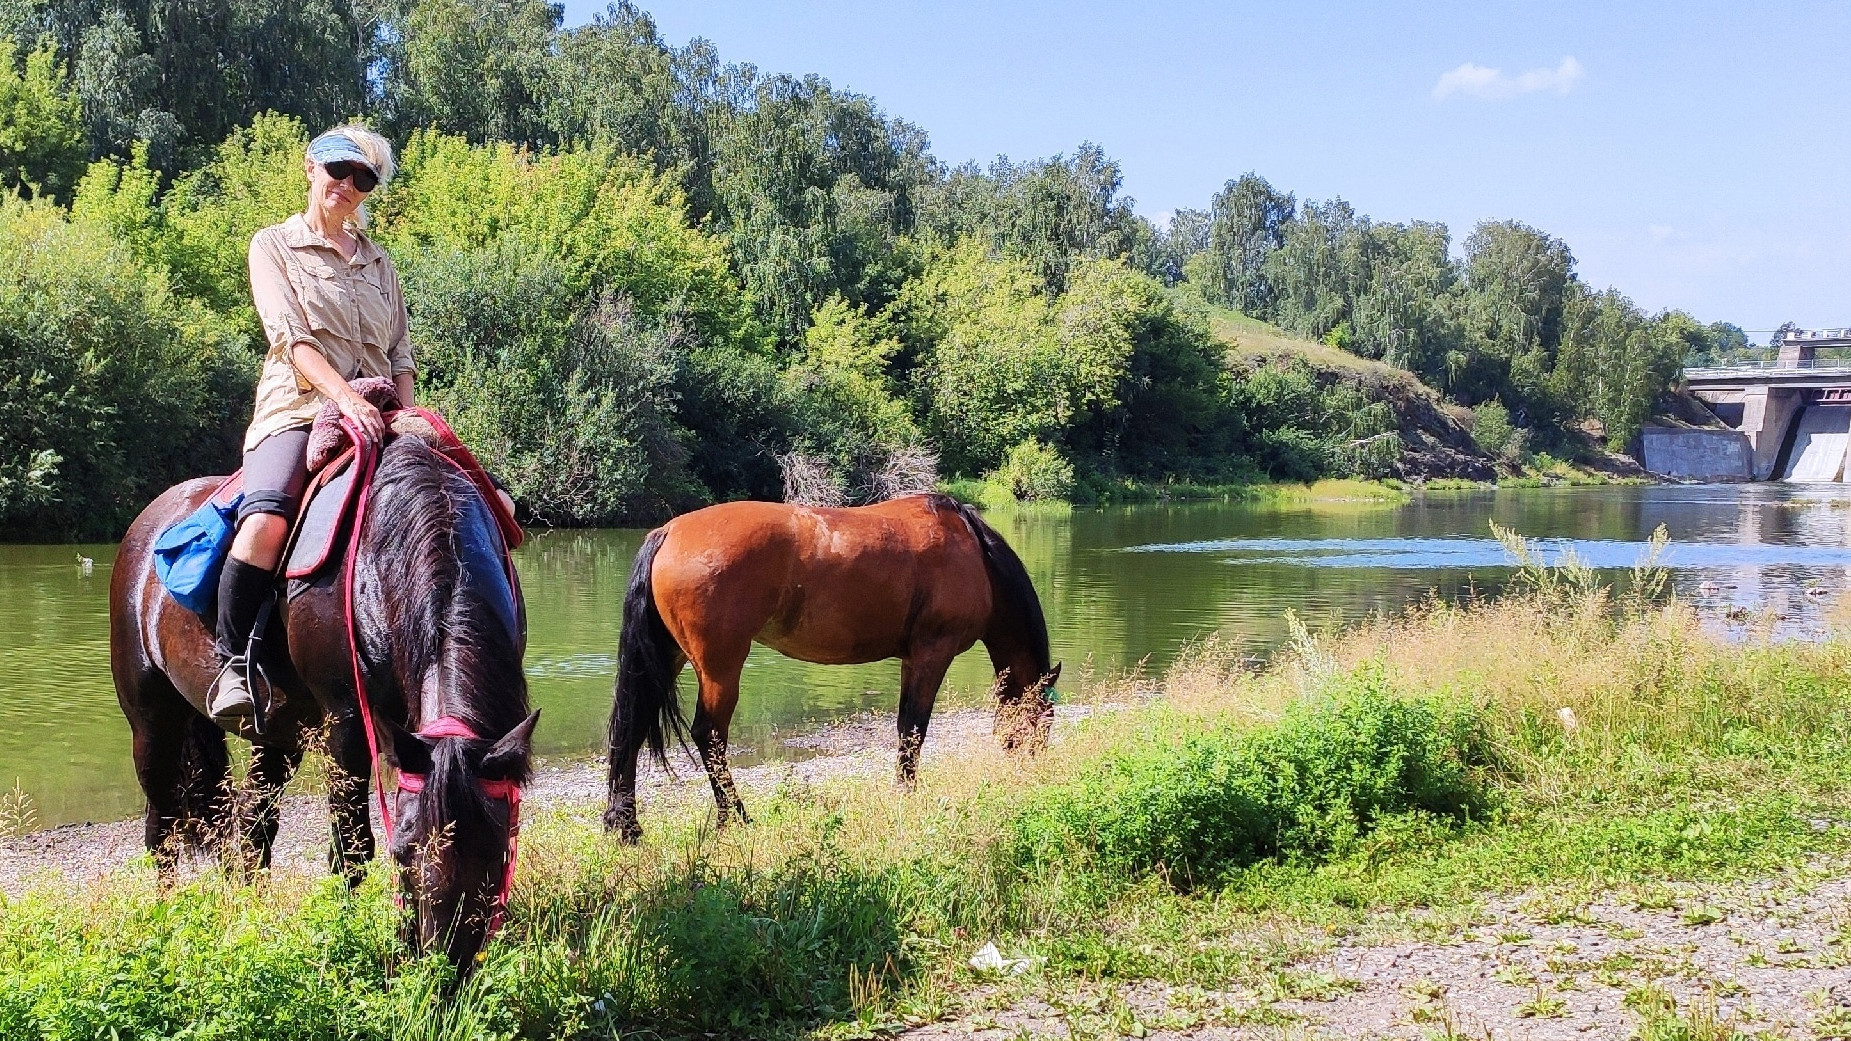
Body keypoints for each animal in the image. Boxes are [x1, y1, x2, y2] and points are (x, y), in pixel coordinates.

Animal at [111, 431, 536, 963]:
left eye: (498, 850)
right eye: (404, 852)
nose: (444, 964)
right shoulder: (347, 726)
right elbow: (351, 846)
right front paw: (343, 932)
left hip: (278, 734)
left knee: (251, 824)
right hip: (152, 722)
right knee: (162, 827)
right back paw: (166, 915)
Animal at [607, 489, 1066, 837]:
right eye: (1044, 722)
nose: (1033, 773)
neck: (974, 553)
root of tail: (668, 531)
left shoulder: (911, 660)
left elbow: (905, 727)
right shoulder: (932, 653)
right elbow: (913, 730)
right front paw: (906, 795)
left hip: (670, 658)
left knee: (633, 729)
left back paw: (626, 826)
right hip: (720, 669)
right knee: (710, 735)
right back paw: (735, 818)